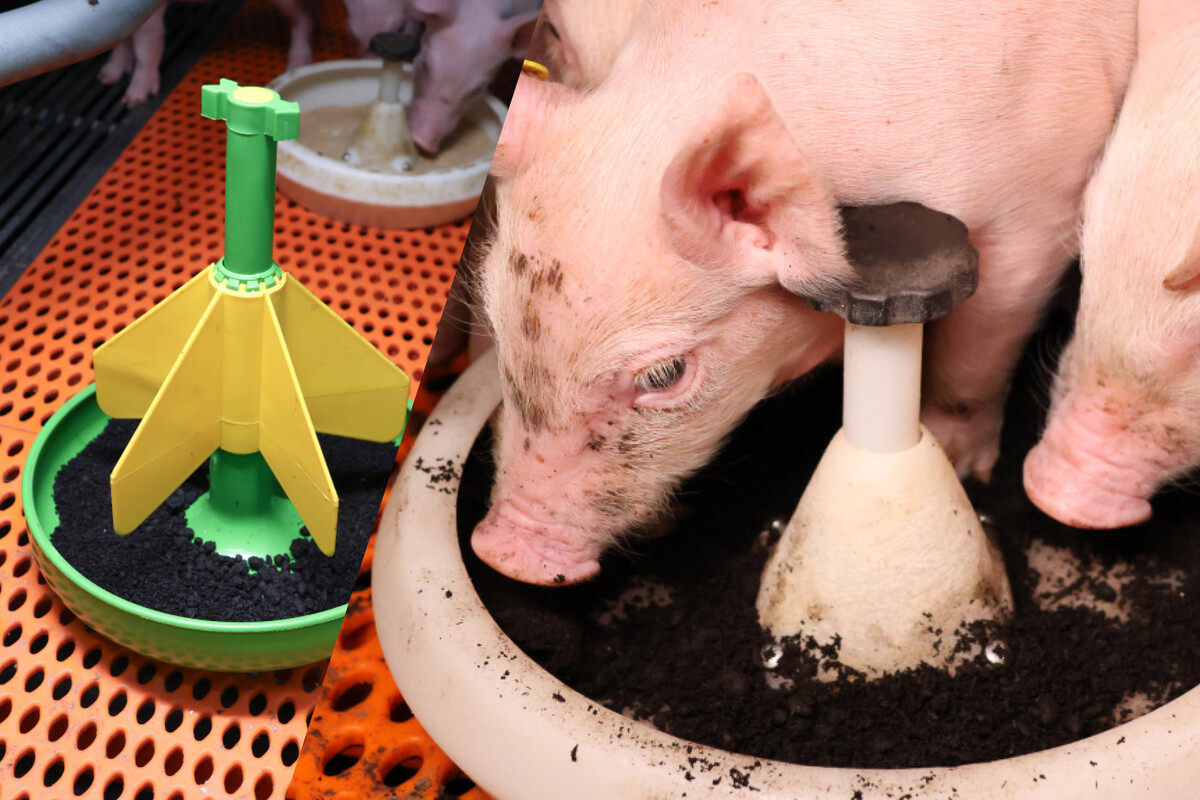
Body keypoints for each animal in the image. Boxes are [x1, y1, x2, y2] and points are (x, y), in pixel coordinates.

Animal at [469, 0, 1139, 586]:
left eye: (664, 374)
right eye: (496, 321)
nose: (503, 553)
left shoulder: (1035, 216)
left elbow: (974, 360)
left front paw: (954, 457)